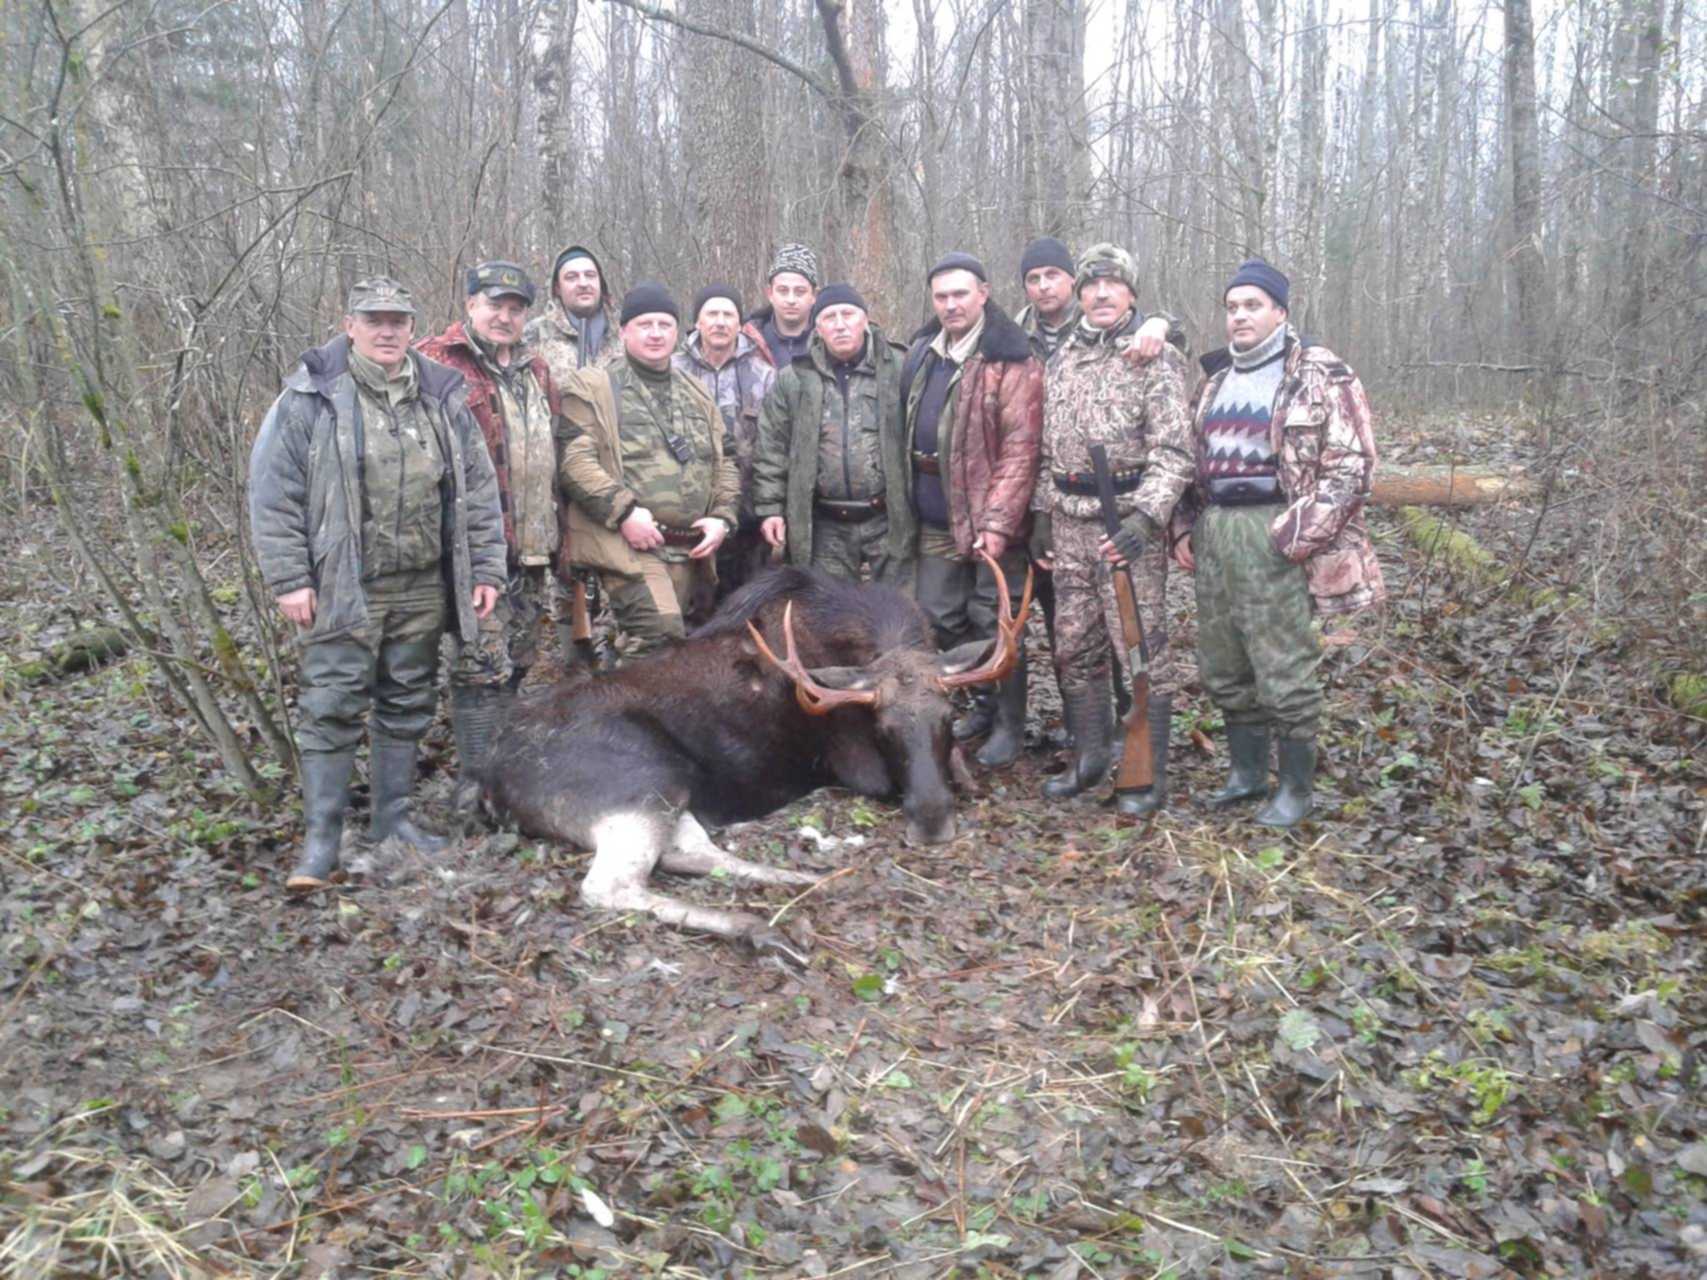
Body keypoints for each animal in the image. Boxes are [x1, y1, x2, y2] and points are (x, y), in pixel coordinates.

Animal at [488, 556, 1031, 955]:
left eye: (948, 715)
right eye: (882, 727)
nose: (933, 820)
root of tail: (493, 783)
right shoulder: (856, 763)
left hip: (661, 796)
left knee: (689, 854)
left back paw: (810, 880)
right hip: (646, 779)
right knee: (612, 885)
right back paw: (761, 927)